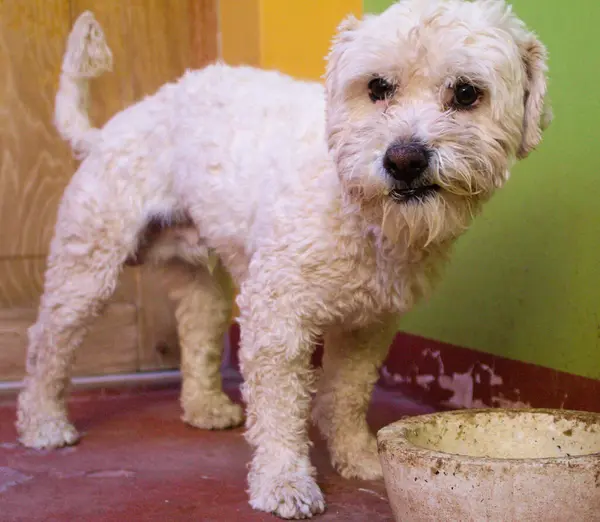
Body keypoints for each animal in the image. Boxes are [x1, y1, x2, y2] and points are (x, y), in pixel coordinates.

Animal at [16, 0, 552, 516]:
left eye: (466, 93)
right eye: (378, 87)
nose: (403, 160)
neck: (359, 209)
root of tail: (106, 132)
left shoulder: (370, 324)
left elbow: (346, 395)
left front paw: (358, 457)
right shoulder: (276, 318)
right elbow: (278, 413)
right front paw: (283, 483)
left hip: (201, 289)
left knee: (197, 337)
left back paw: (205, 408)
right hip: (87, 269)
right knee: (46, 343)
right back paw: (43, 423)